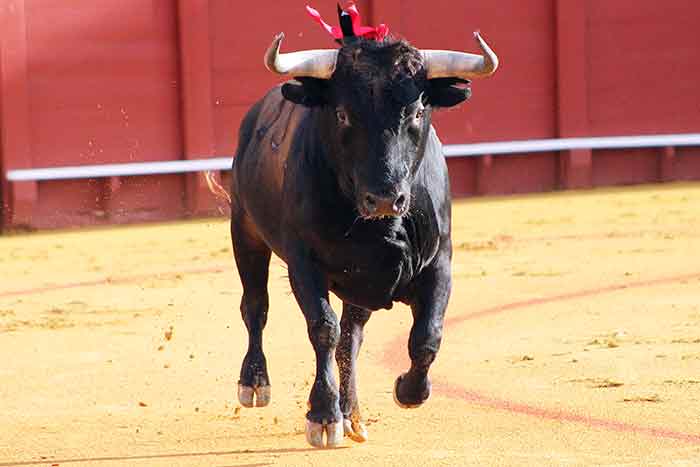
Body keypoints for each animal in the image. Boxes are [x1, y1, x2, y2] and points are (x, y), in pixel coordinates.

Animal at [227, 35, 494, 446]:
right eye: (341, 114)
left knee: (350, 339)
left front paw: (408, 391)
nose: (384, 198)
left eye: (418, 112)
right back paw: (255, 383)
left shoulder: (439, 263)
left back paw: (352, 413)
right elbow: (323, 328)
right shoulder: (304, 264)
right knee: (256, 306)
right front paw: (323, 416)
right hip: (245, 231)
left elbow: (426, 335)